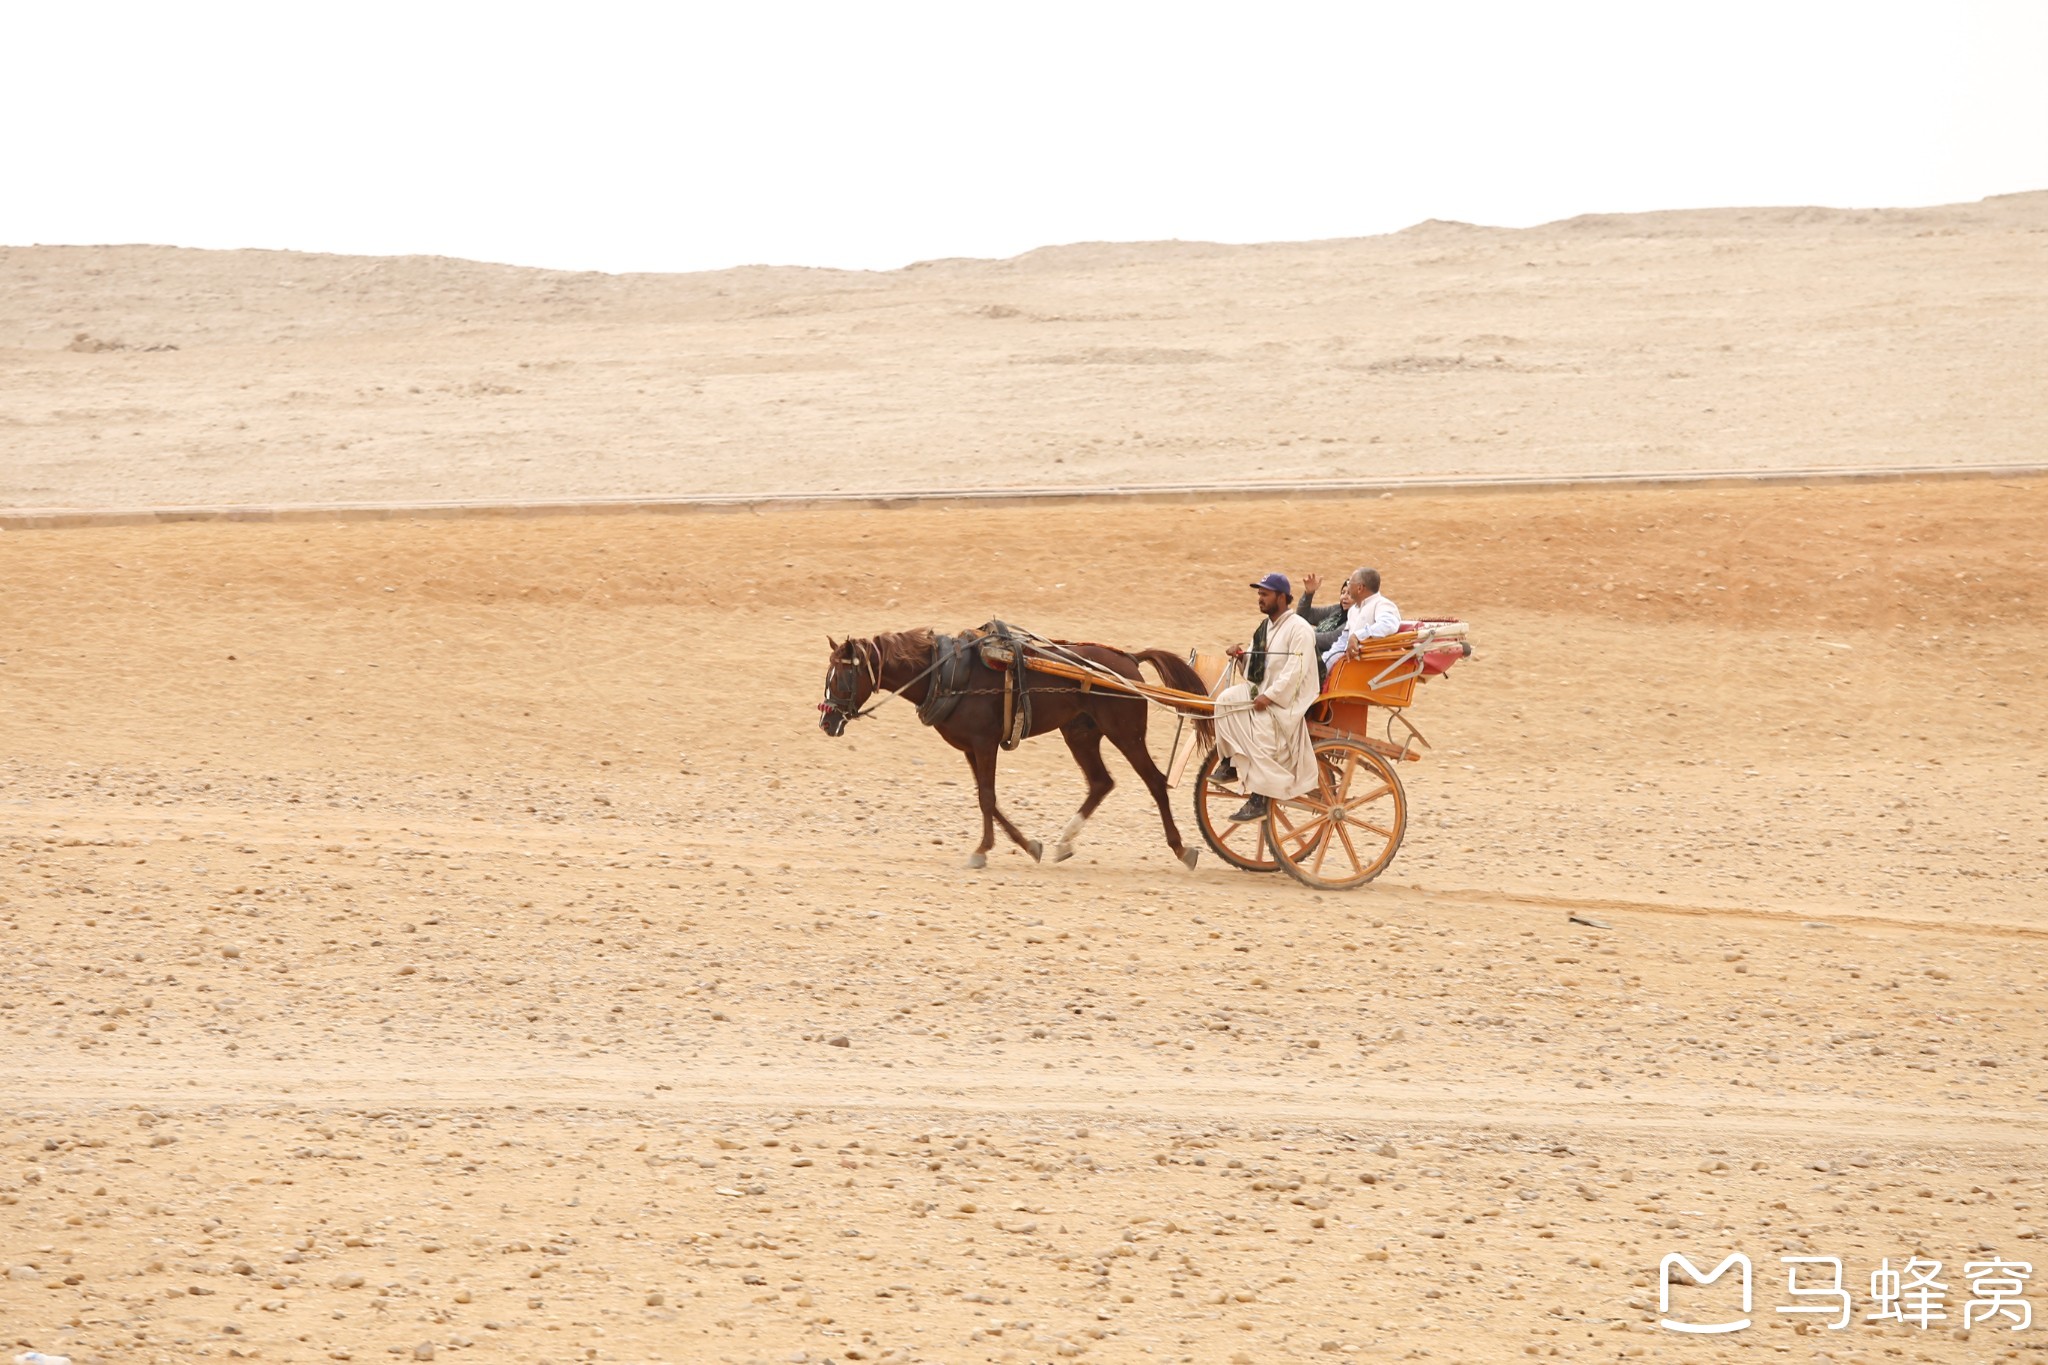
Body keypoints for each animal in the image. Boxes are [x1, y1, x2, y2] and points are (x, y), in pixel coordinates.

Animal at [823, 634, 1212, 871]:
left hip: (1125, 733)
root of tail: (1128, 658)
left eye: (840, 678)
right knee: (1101, 782)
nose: (826, 722)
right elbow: (987, 798)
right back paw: (1064, 842)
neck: (947, 673)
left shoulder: (984, 743)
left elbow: (987, 797)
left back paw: (1182, 849)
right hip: (1080, 733)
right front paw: (1028, 845)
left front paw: (981, 851)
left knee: (1155, 782)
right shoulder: (971, 748)